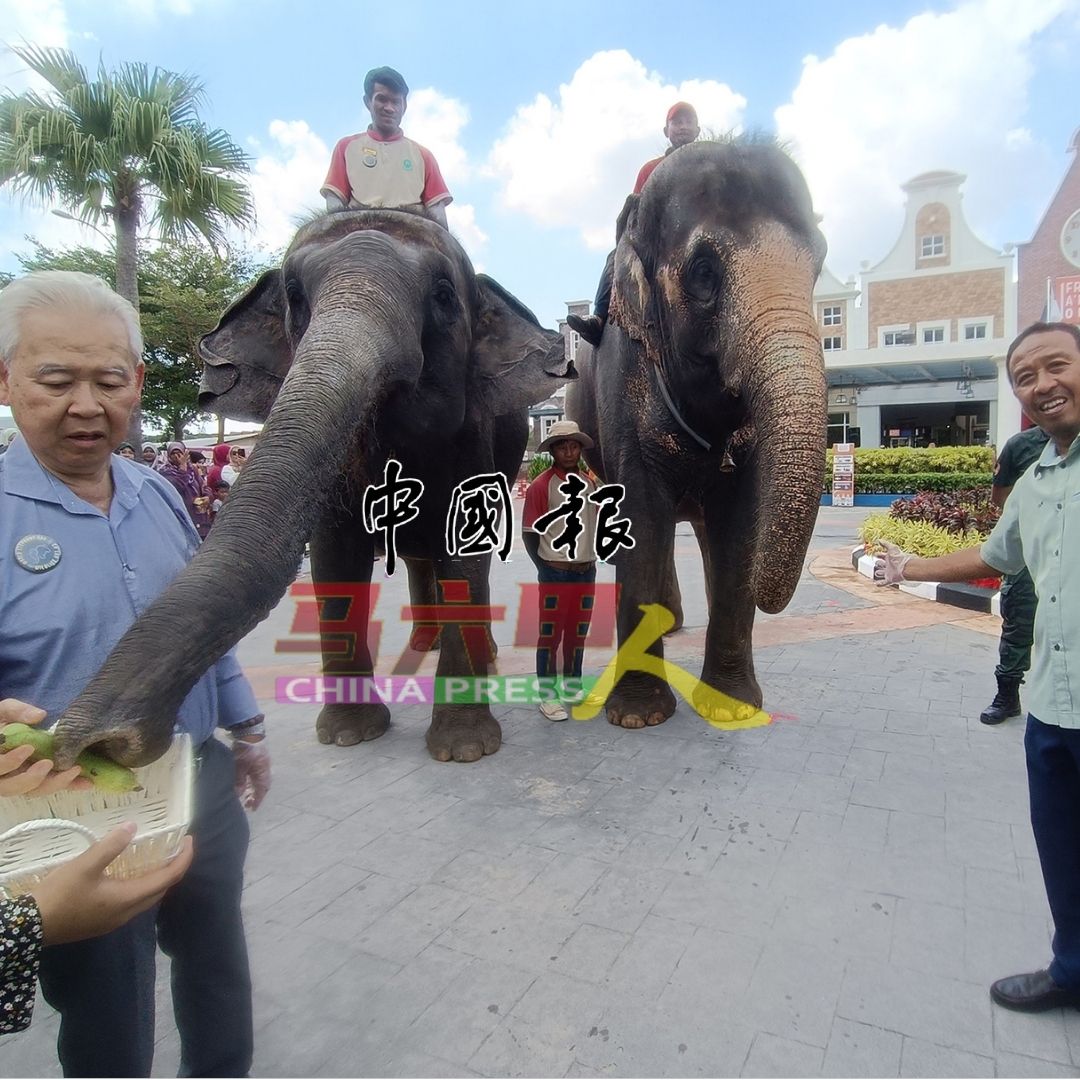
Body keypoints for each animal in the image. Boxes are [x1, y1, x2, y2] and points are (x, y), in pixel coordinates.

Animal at [50, 206, 574, 768]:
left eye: (443, 295)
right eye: (295, 297)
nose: (99, 746)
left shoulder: (473, 435)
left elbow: (464, 550)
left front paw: (464, 750)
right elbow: (334, 556)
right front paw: (349, 735)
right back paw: (421, 645)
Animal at [565, 132, 825, 725]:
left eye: (819, 264)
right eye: (703, 272)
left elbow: (739, 521)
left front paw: (732, 709)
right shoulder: (625, 374)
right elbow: (640, 511)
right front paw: (637, 717)